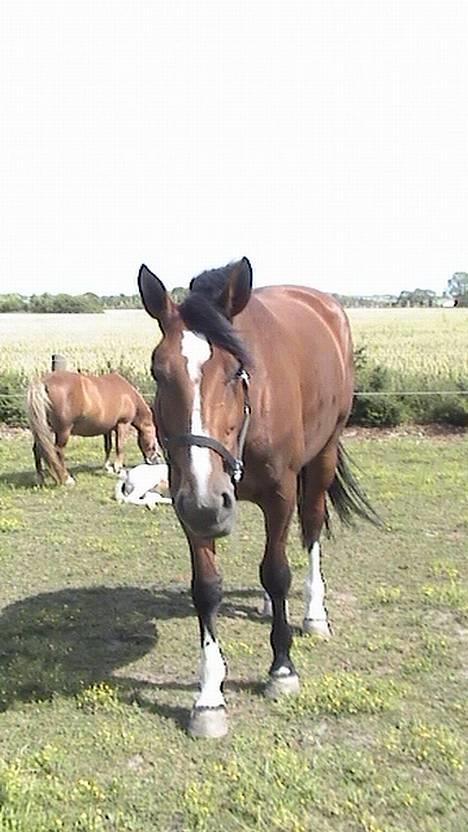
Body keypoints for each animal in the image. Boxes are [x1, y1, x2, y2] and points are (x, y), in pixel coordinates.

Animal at [26, 372, 158, 484]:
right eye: (154, 440)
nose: (155, 461)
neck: (129, 395)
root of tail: (44, 382)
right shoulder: (122, 424)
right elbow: (119, 447)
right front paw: (118, 469)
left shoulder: (107, 429)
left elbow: (108, 447)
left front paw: (108, 468)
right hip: (63, 431)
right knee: (58, 451)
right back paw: (67, 479)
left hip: (43, 430)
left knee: (38, 449)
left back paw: (40, 479)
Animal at [139, 256, 380, 736]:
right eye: (158, 372)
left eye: (236, 371)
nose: (206, 504)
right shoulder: (191, 504)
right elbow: (207, 589)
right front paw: (209, 699)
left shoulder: (279, 493)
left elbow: (277, 571)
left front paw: (282, 668)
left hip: (322, 458)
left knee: (309, 532)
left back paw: (313, 614)